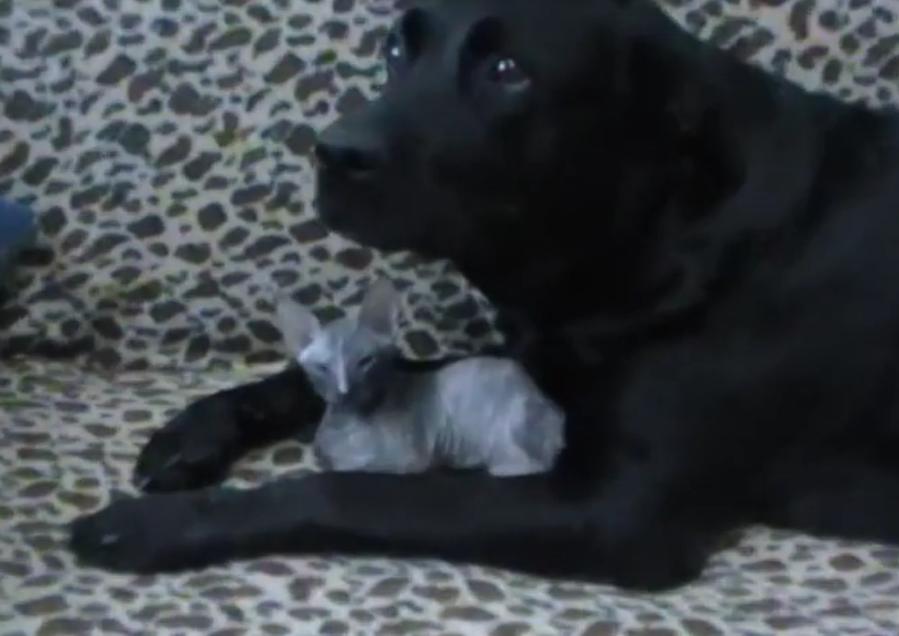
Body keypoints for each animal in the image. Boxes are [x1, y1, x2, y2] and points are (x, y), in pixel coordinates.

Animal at [278, 280, 568, 474]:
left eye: (364, 362)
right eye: (322, 368)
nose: (344, 389)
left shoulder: (406, 460)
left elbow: (358, 466)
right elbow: (326, 458)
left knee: (529, 464)